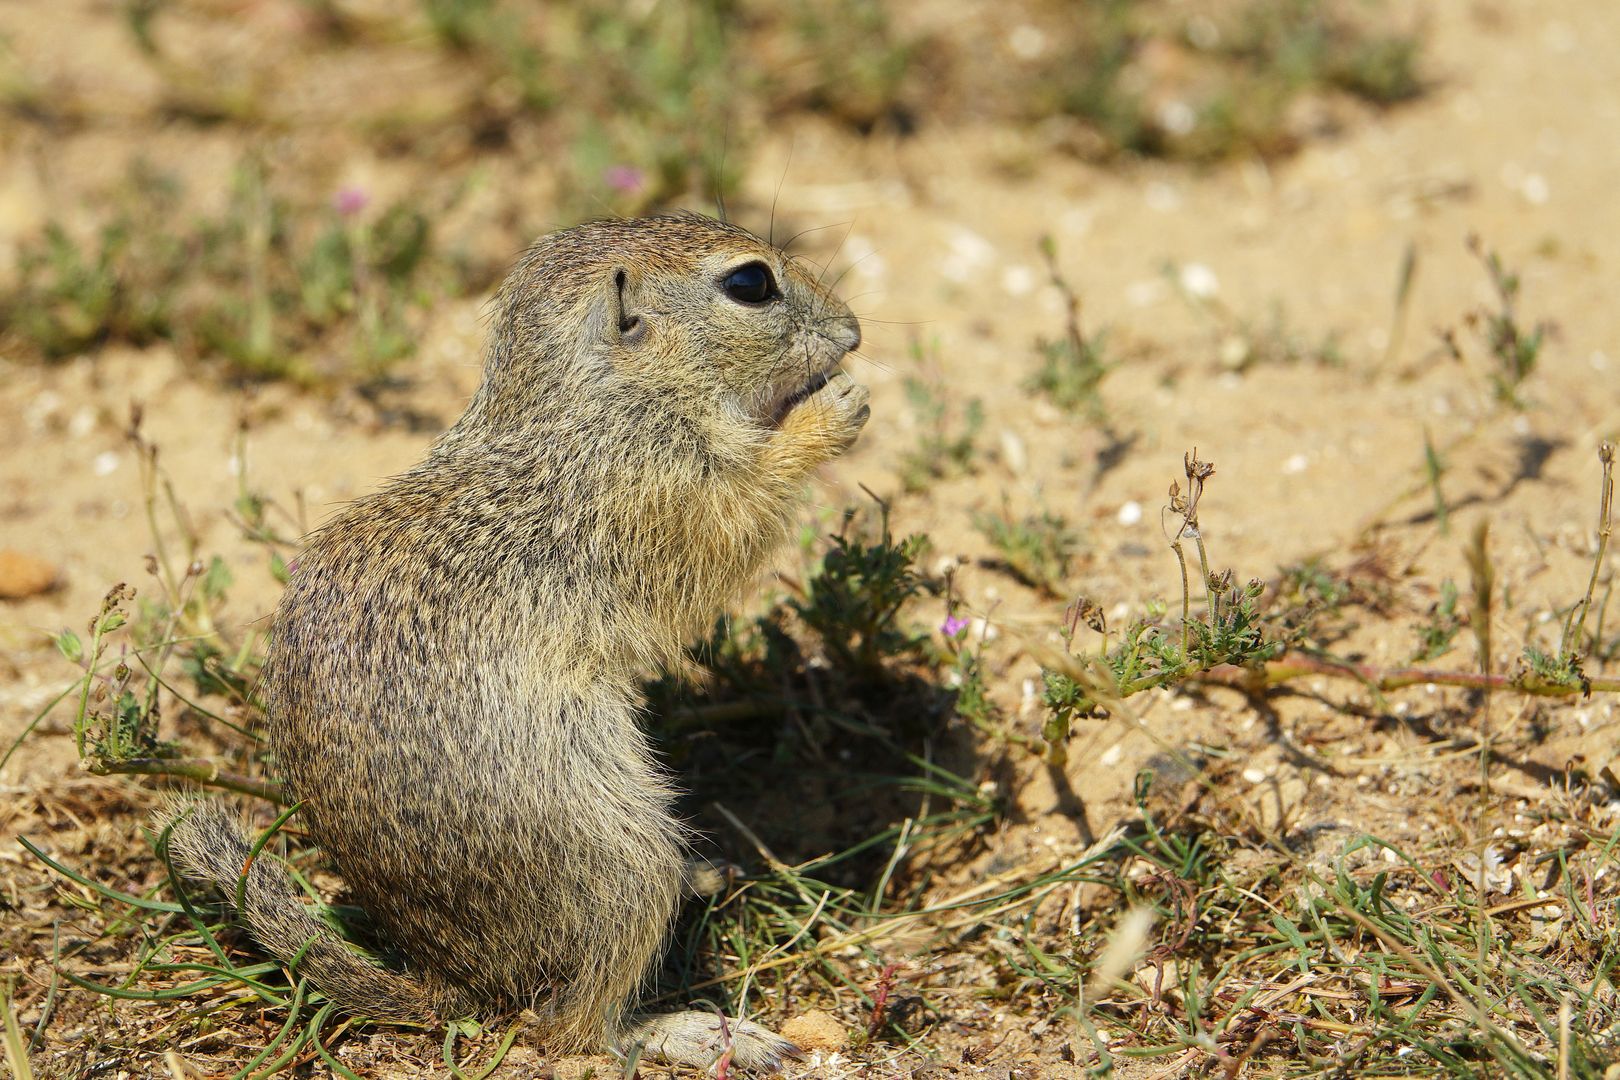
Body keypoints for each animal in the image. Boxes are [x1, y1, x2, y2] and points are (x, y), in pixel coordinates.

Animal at [161, 213, 874, 1075]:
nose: (854, 331)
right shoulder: (663, 494)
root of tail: (448, 978)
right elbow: (738, 515)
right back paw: (692, 1030)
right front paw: (832, 410)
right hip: (620, 861)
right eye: (750, 283)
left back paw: (703, 878)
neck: (597, 400)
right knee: (568, 1027)